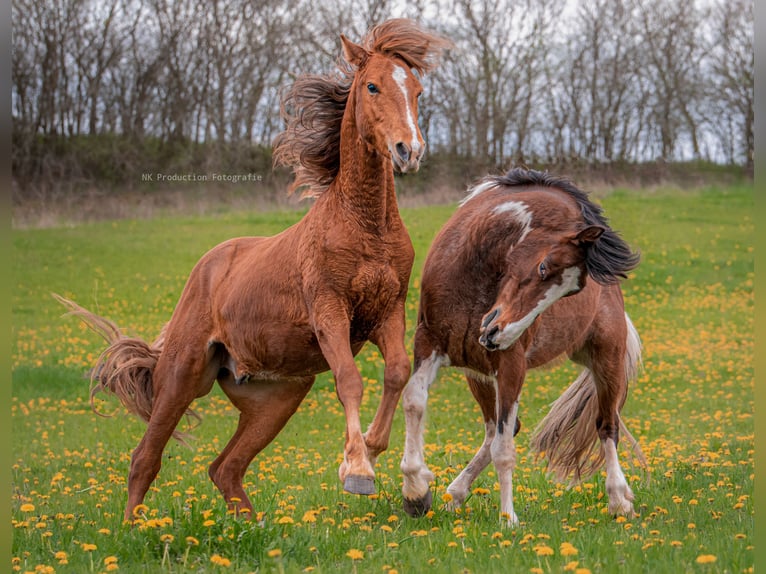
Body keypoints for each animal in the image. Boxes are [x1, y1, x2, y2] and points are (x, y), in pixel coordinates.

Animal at [58, 19, 450, 520]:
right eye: (372, 86)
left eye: (417, 90)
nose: (408, 150)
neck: (365, 226)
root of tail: (206, 266)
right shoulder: (330, 313)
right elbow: (349, 380)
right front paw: (358, 470)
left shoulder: (386, 312)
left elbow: (398, 372)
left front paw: (381, 461)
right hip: (182, 375)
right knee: (145, 458)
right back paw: (133, 529)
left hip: (276, 399)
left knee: (224, 468)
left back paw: (250, 525)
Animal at [402, 168, 648, 528]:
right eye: (543, 267)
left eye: (571, 291)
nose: (496, 334)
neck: (473, 269)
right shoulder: (428, 344)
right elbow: (414, 403)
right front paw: (416, 493)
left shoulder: (510, 366)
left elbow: (504, 451)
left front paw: (508, 518)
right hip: (477, 375)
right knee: (496, 431)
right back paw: (455, 494)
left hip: (607, 361)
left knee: (607, 426)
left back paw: (619, 500)